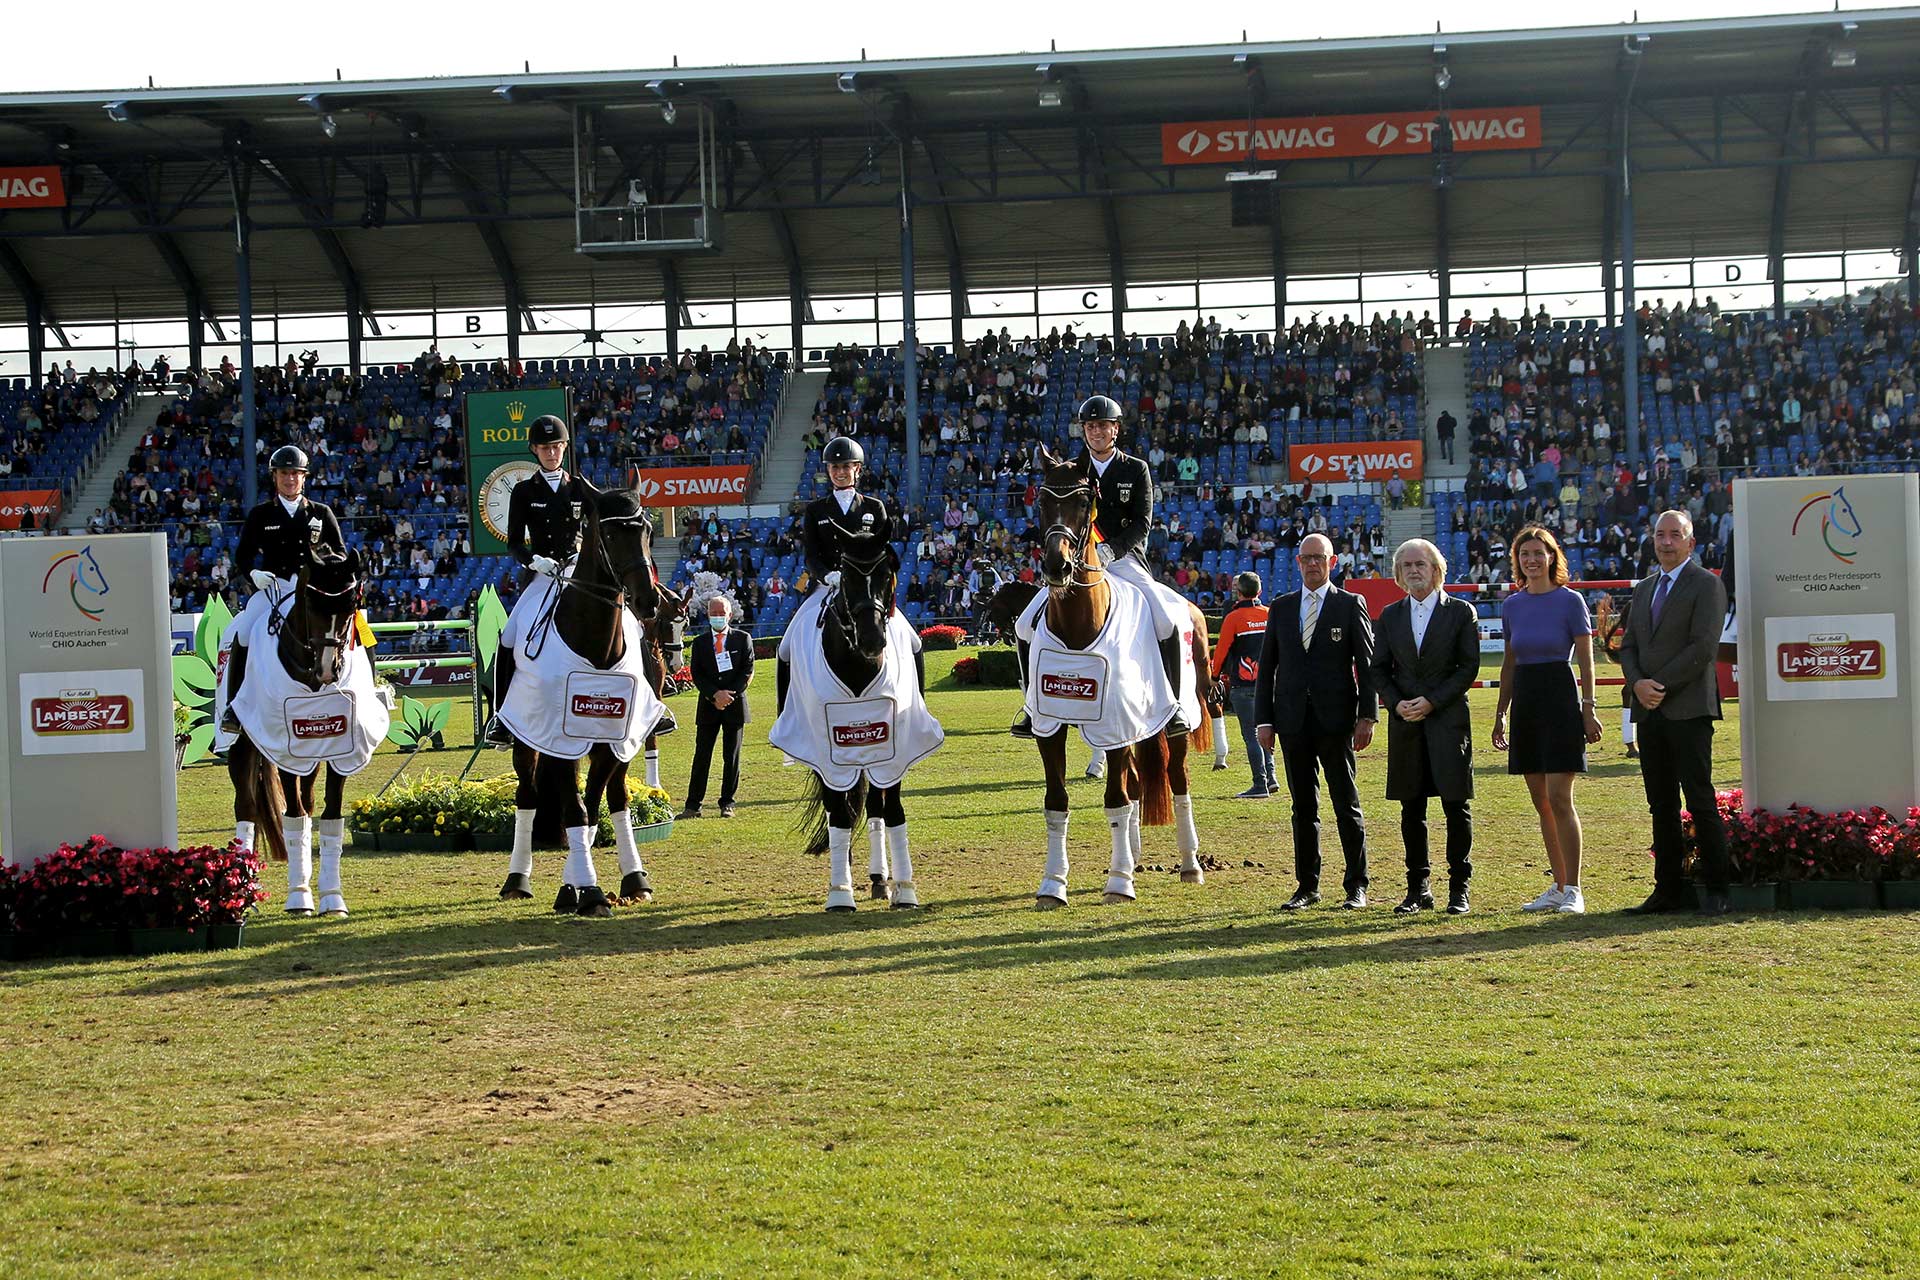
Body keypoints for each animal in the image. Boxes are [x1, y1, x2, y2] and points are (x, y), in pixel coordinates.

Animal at [224, 537, 382, 917]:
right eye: (310, 602)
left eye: (351, 606)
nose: (327, 669)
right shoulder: (286, 750)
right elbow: (292, 819)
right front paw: (299, 896)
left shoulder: (341, 751)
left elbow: (330, 817)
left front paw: (332, 897)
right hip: (244, 746)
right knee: (247, 808)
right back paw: (243, 888)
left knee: (308, 806)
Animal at [495, 491, 668, 921]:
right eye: (610, 533)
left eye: (647, 530)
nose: (648, 601)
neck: (597, 647)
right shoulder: (558, 741)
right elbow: (576, 810)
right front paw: (587, 892)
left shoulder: (613, 742)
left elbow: (595, 805)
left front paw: (576, 887)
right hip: (528, 740)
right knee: (527, 797)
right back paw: (516, 881)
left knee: (616, 798)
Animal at [768, 537, 940, 909]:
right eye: (845, 577)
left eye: (888, 573)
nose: (872, 639)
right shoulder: (825, 749)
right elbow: (840, 813)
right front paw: (840, 892)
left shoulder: (894, 749)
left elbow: (892, 811)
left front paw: (904, 888)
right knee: (838, 809)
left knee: (874, 806)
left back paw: (879, 878)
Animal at [1021, 450, 1213, 909]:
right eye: (1042, 501)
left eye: (1083, 500)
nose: (1057, 566)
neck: (1078, 628)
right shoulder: (1050, 729)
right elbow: (1057, 803)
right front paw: (1053, 884)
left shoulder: (1116, 728)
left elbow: (1115, 800)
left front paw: (1119, 883)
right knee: (1139, 786)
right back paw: (1135, 854)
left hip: (1170, 724)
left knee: (1177, 782)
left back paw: (1189, 864)